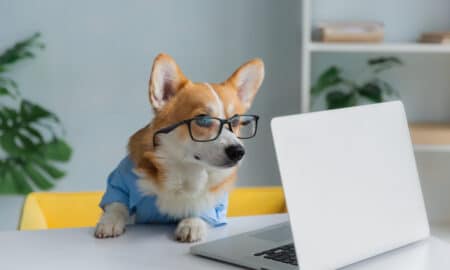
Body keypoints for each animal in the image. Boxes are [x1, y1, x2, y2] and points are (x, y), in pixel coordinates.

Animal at [95, 53, 264, 242]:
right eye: (203, 119)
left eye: (235, 122)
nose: (238, 152)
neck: (185, 170)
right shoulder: (119, 185)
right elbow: (117, 205)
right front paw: (109, 222)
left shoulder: (215, 205)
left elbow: (202, 207)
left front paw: (192, 223)